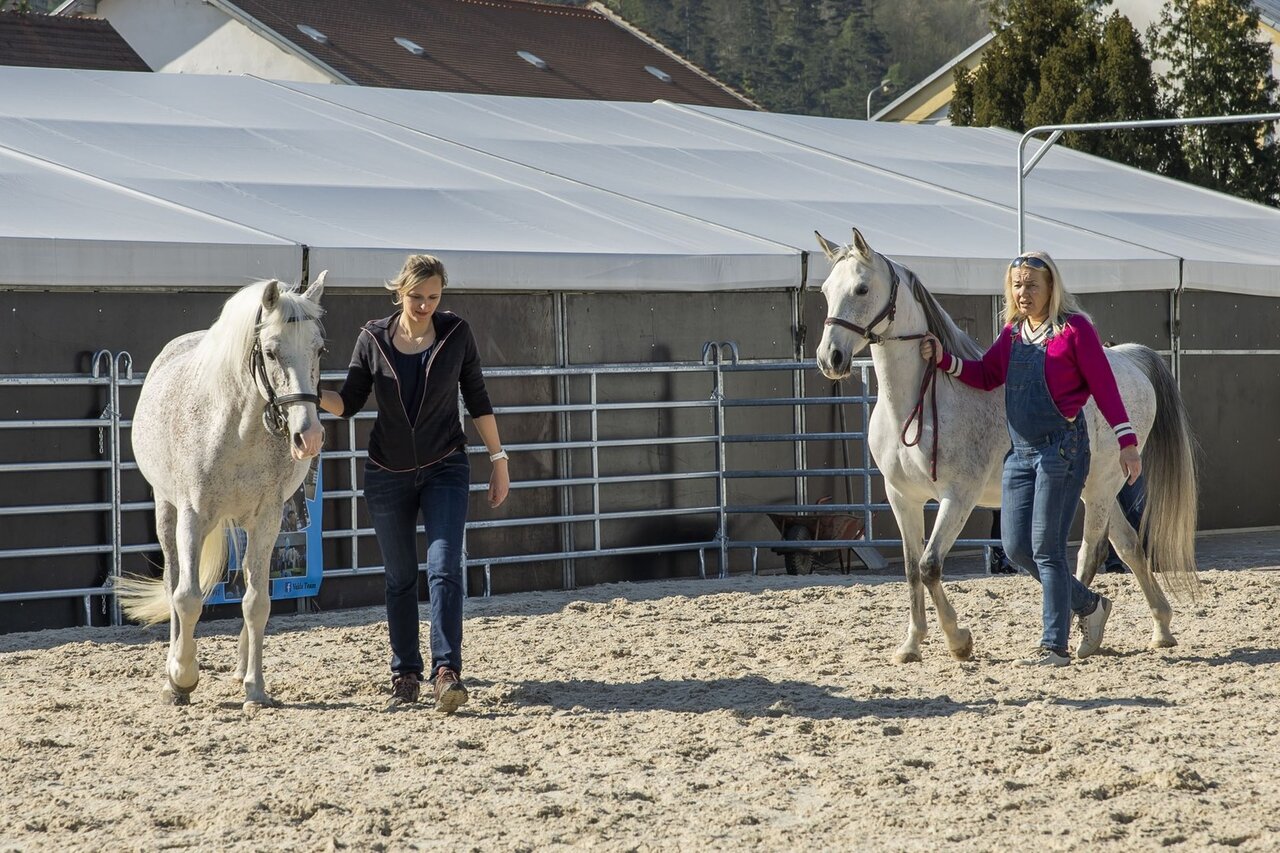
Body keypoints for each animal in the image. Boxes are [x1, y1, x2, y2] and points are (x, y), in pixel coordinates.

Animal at [117, 274, 327, 706]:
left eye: (319, 348)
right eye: (270, 352)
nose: (309, 436)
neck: (236, 430)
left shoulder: (267, 519)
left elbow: (258, 601)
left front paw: (255, 687)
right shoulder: (192, 516)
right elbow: (186, 597)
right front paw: (180, 677)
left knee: (249, 584)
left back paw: (241, 668)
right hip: (167, 512)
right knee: (175, 582)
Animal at [813, 228, 1199, 663]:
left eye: (862, 288)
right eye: (826, 290)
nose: (830, 358)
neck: (918, 403)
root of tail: (1128, 360)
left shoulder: (958, 498)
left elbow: (930, 566)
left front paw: (958, 640)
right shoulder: (901, 497)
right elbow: (912, 570)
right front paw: (911, 645)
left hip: (1100, 488)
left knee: (1090, 552)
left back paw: (1082, 634)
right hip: (1093, 488)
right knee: (1130, 546)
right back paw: (1160, 629)